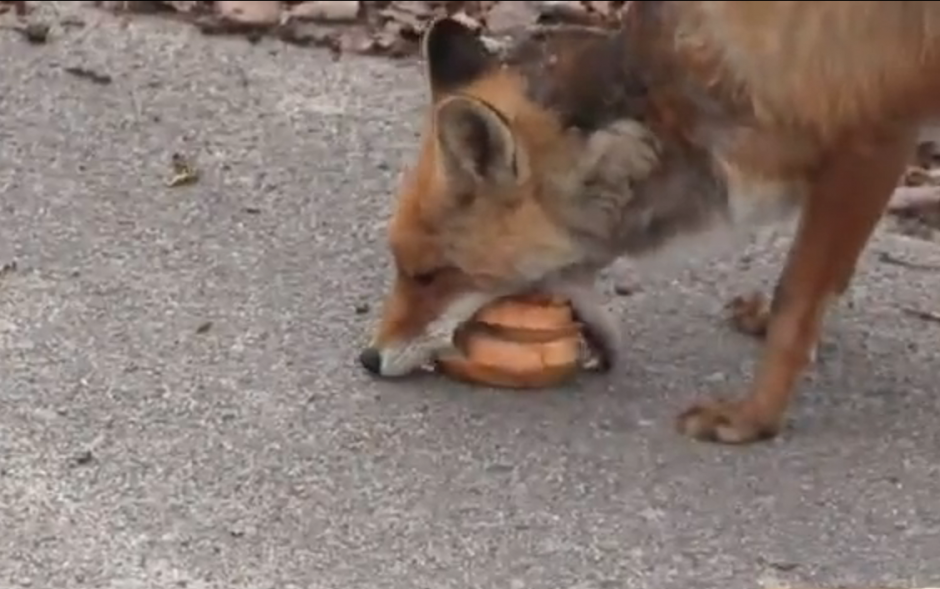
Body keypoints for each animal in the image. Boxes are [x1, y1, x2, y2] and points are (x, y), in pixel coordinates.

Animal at [356, 1, 940, 446]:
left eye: (429, 275)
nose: (369, 358)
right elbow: (823, 283)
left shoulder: (872, 142)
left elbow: (798, 300)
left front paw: (753, 418)